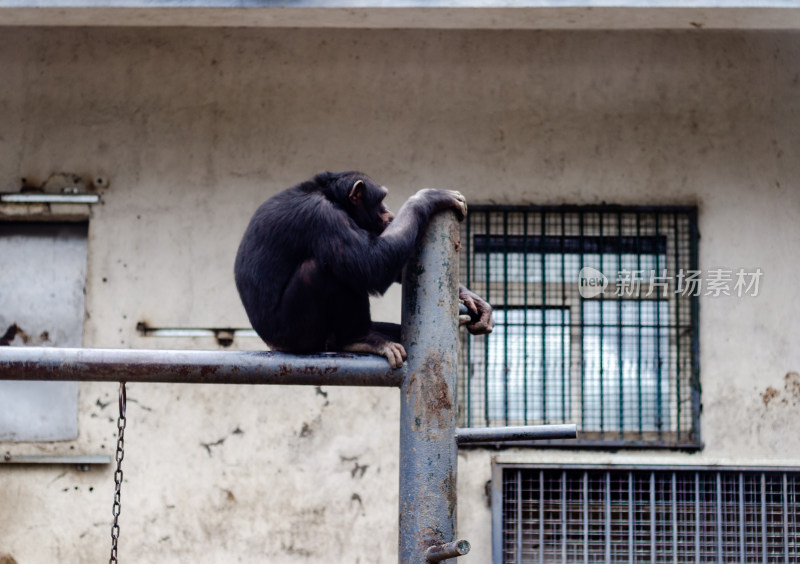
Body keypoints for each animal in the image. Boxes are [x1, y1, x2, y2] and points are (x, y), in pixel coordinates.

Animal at [234, 170, 490, 368]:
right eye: (381, 199)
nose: (389, 212)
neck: (330, 196)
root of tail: (271, 345)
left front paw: (472, 298)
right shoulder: (323, 216)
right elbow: (369, 264)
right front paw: (428, 197)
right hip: (296, 335)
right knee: (321, 270)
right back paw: (362, 339)